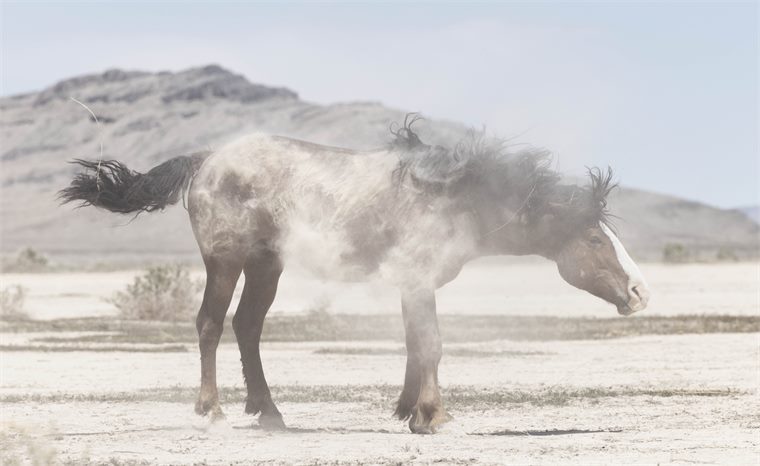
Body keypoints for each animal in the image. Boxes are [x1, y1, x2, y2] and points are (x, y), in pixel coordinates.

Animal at [60, 116, 650, 434]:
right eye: (594, 239)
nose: (640, 291)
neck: (454, 198)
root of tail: (208, 160)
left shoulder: (414, 285)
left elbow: (415, 344)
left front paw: (408, 410)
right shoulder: (418, 280)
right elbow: (431, 344)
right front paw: (432, 417)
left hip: (265, 267)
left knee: (247, 327)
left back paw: (269, 412)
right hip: (225, 263)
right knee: (209, 325)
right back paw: (213, 411)